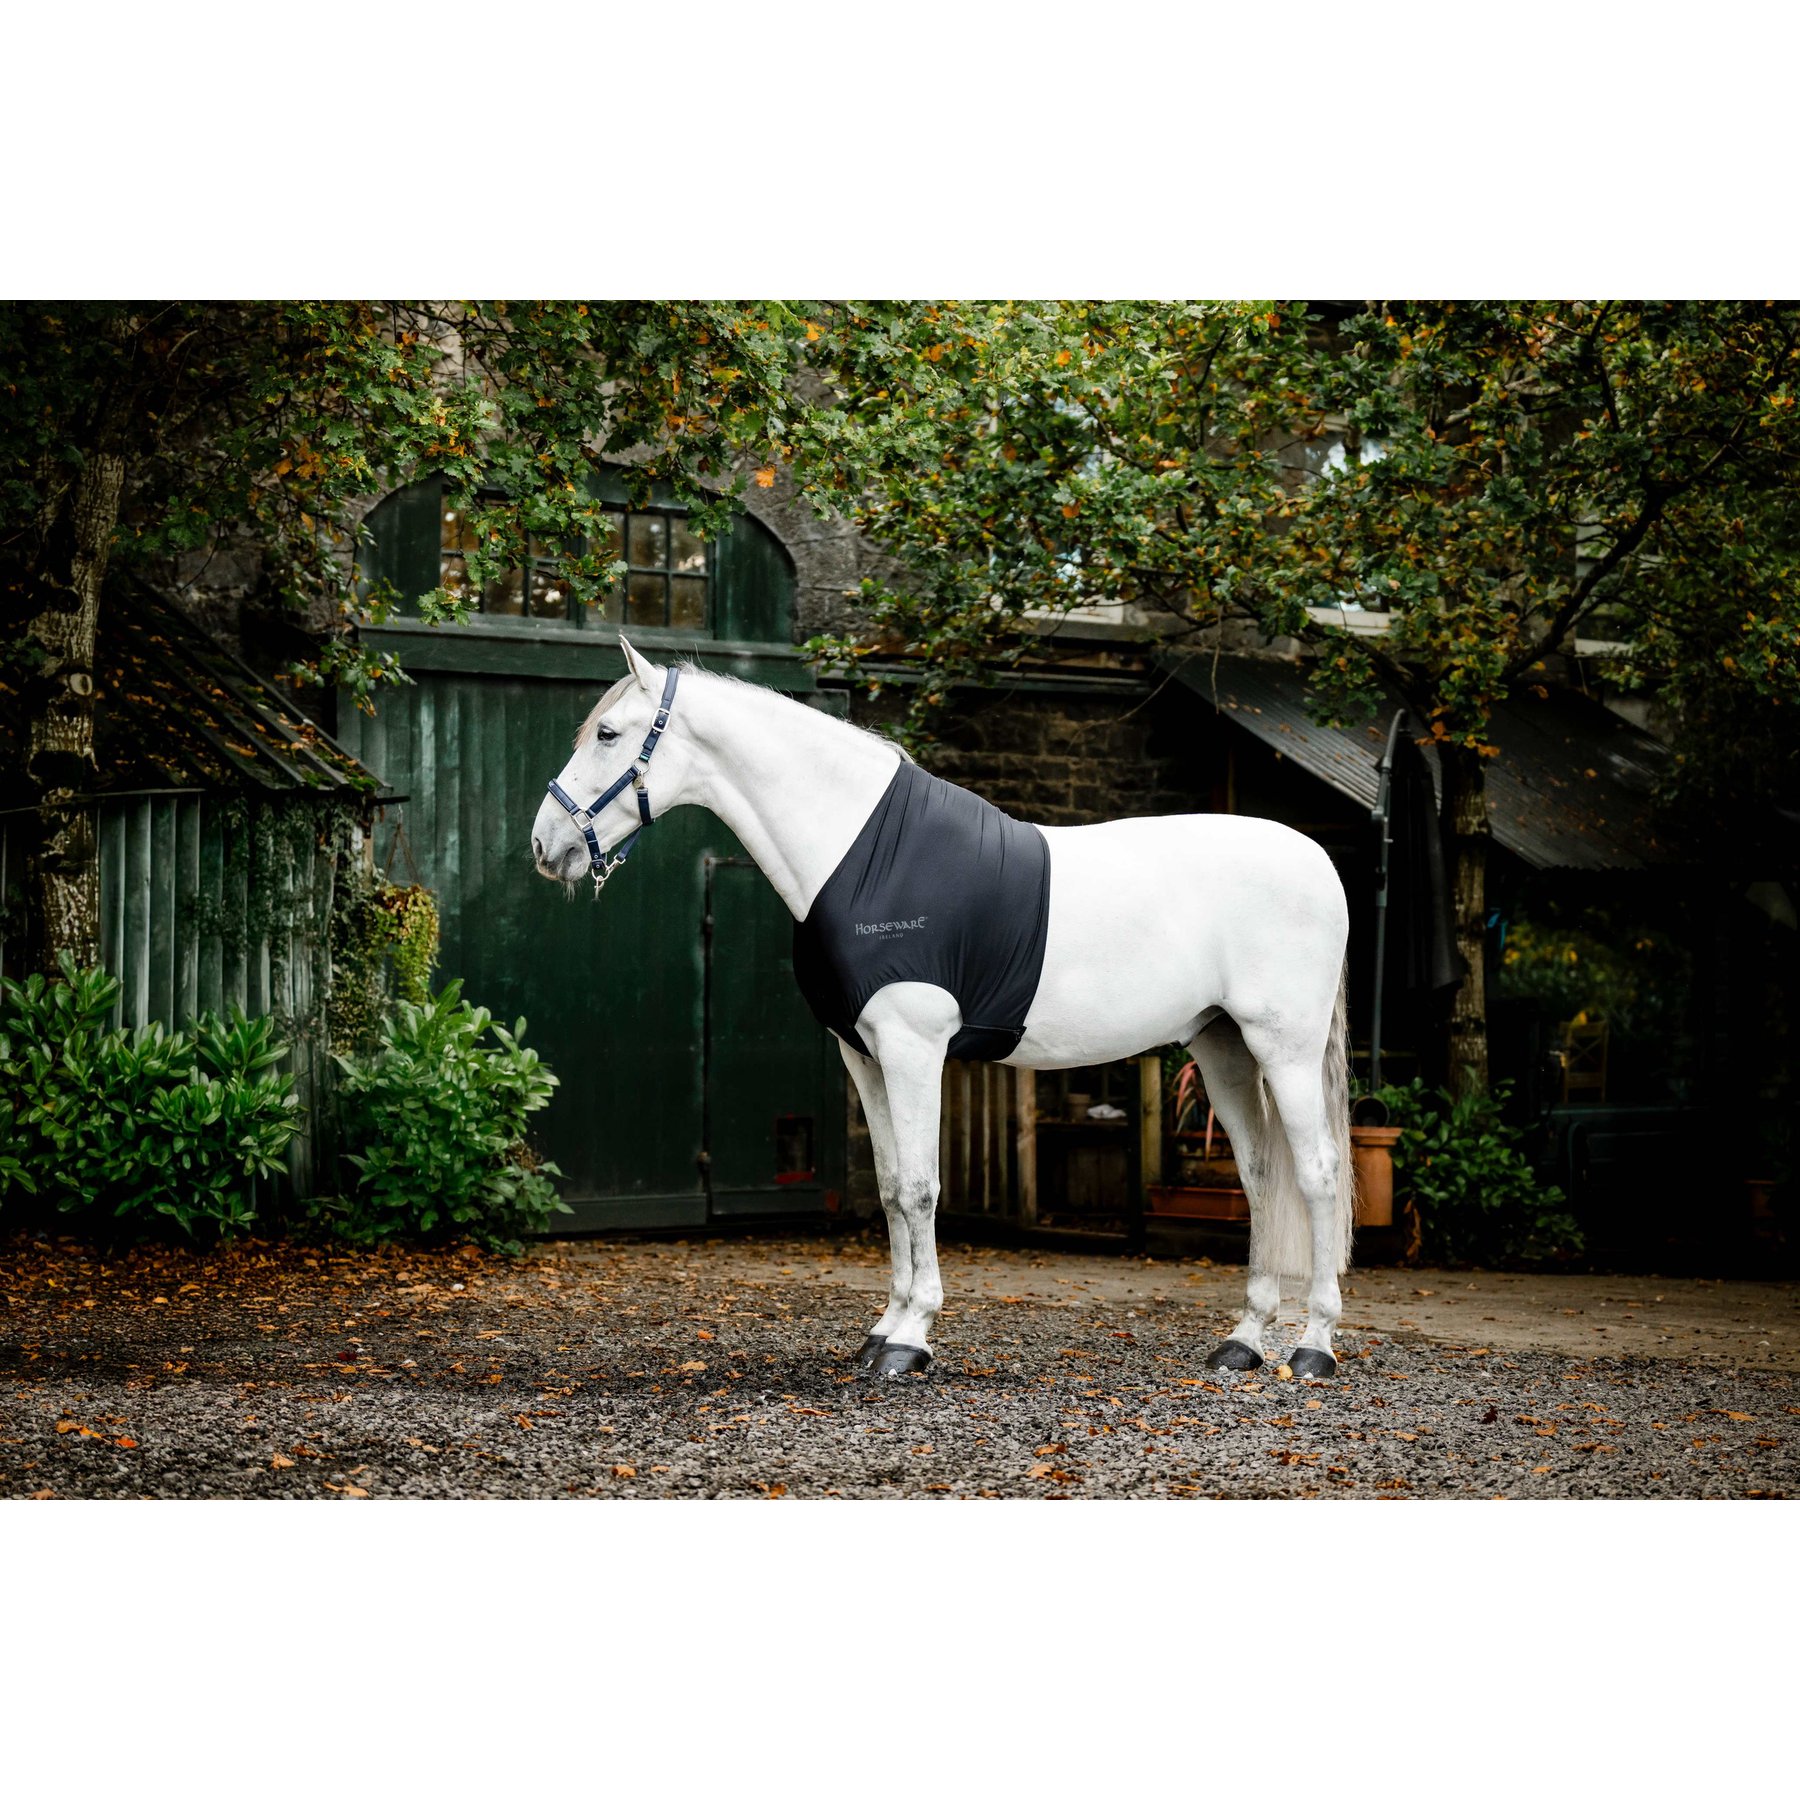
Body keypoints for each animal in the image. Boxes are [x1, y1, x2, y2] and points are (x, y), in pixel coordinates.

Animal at [531, 637, 1355, 1380]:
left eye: (608, 735)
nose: (546, 845)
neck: (860, 854)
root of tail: (1319, 859)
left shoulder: (913, 1047)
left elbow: (923, 1186)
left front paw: (912, 1339)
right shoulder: (863, 1054)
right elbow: (894, 1188)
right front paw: (883, 1329)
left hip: (1283, 1048)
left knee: (1317, 1174)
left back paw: (1313, 1345)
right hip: (1222, 1047)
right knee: (1260, 1176)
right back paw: (1244, 1342)